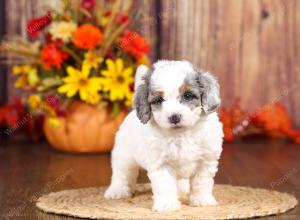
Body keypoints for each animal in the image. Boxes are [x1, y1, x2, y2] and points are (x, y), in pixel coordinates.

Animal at [104, 60, 224, 211]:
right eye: (159, 100)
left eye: (188, 95)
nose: (174, 117)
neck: (181, 134)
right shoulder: (161, 163)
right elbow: (165, 185)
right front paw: (167, 205)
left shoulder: (206, 160)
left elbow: (201, 182)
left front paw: (202, 200)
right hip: (124, 155)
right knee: (122, 174)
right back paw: (117, 191)